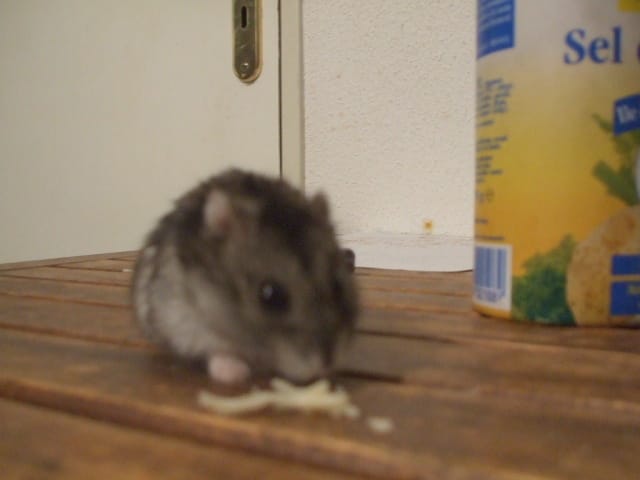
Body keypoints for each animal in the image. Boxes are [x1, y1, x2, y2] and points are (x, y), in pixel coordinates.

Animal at [131, 169, 358, 385]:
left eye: (338, 286)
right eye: (270, 296)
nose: (326, 366)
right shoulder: (180, 316)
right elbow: (214, 347)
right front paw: (234, 373)